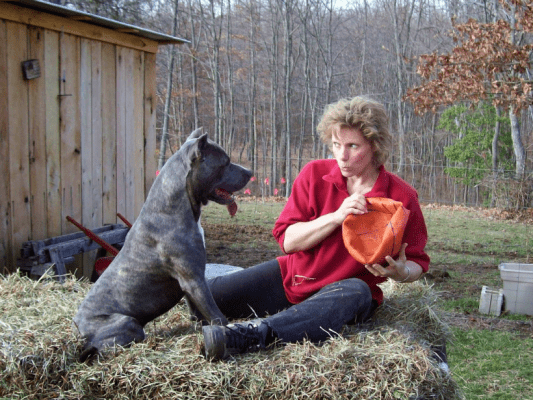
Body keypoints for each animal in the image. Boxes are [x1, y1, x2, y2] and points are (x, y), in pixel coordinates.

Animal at [73, 129, 254, 362]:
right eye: (226, 162)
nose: (250, 172)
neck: (176, 206)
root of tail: (79, 330)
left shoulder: (193, 281)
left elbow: (198, 310)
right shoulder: (193, 279)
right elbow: (216, 314)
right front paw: (227, 330)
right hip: (127, 322)